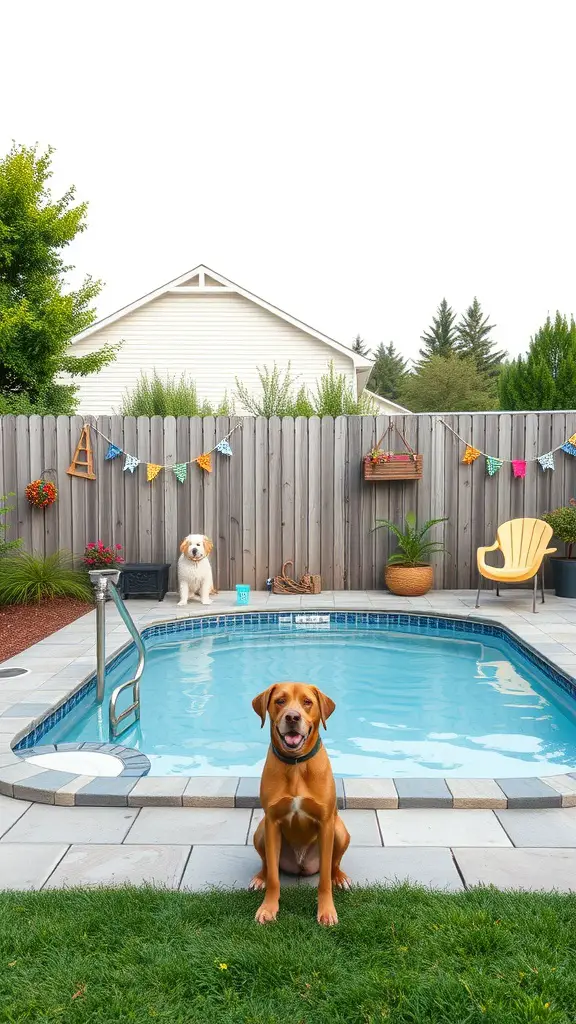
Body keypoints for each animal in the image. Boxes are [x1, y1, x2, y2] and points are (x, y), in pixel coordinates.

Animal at [248, 679, 348, 929]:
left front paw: (326, 911)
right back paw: (259, 878)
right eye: (280, 701)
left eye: (307, 702)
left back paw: (340, 877)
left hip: (340, 831)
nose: (292, 717)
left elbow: (324, 880)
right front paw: (268, 908)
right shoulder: (272, 822)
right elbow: (274, 878)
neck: (295, 765)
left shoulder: (326, 823)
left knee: (333, 864)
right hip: (260, 831)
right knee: (267, 864)